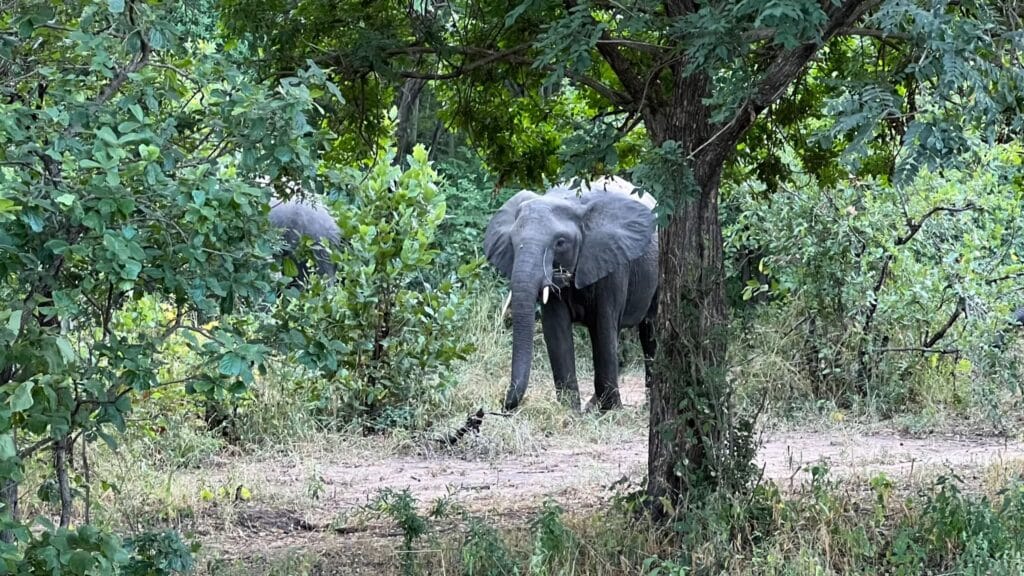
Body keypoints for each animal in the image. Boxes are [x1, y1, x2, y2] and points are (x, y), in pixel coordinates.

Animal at [484, 176, 659, 412]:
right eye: (512, 241)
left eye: (560, 243)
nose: (503, 404)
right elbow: (556, 331)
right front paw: (569, 410)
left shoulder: (612, 262)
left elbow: (603, 328)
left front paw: (610, 411)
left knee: (650, 332)